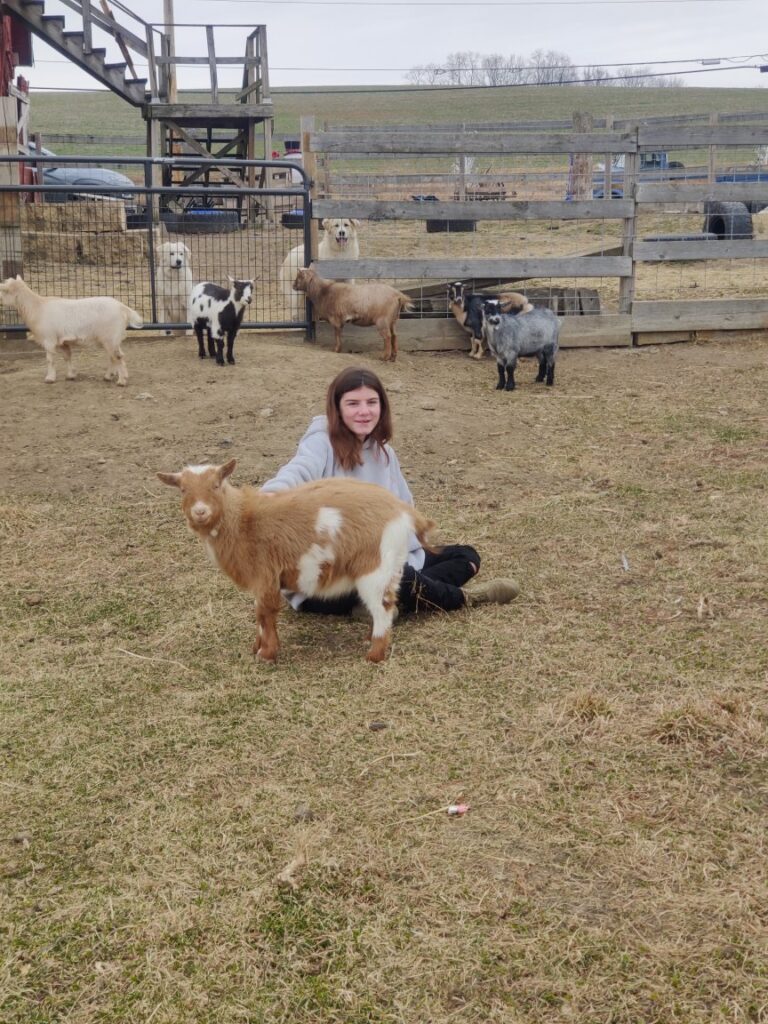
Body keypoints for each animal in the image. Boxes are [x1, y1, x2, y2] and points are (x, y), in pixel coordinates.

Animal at [0, 275, 141, 385]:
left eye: (3, 291)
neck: (37, 307)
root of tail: (123, 308)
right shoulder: (62, 341)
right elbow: (67, 357)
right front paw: (71, 375)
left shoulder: (49, 339)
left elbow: (50, 359)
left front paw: (50, 378)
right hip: (111, 338)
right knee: (114, 356)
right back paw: (109, 376)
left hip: (110, 337)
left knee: (117, 356)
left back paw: (121, 381)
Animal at [157, 459, 437, 664]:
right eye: (183, 489)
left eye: (216, 485)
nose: (200, 511)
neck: (244, 522)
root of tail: (402, 510)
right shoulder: (261, 580)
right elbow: (260, 614)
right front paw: (257, 647)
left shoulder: (265, 575)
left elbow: (264, 612)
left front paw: (266, 654)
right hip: (392, 567)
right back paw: (370, 641)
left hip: (374, 569)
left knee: (382, 608)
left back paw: (374, 655)